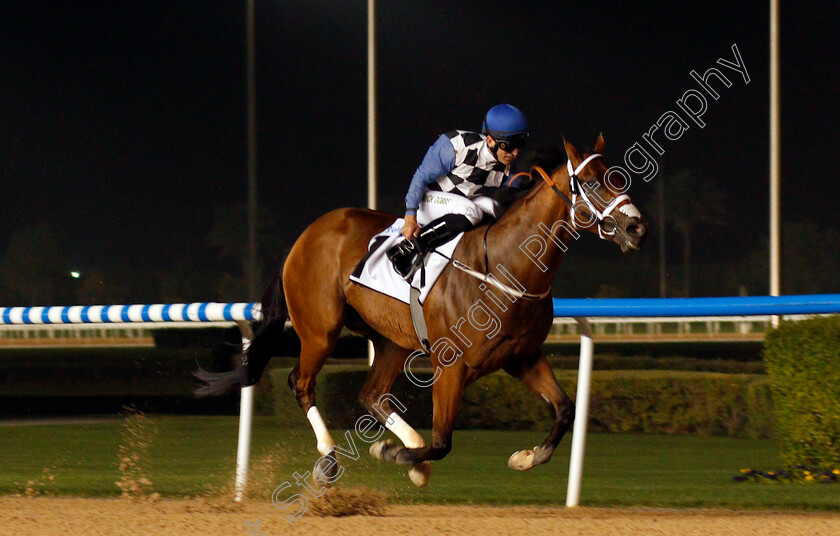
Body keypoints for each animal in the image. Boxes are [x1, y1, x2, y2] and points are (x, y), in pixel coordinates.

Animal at [197, 136, 648, 488]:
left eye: (618, 177)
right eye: (589, 182)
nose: (637, 228)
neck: (504, 266)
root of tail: (306, 235)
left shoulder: (522, 357)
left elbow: (565, 409)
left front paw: (525, 457)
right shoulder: (452, 365)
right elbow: (444, 441)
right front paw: (392, 454)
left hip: (390, 340)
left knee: (371, 394)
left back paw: (410, 451)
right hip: (320, 329)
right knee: (301, 382)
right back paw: (331, 458)